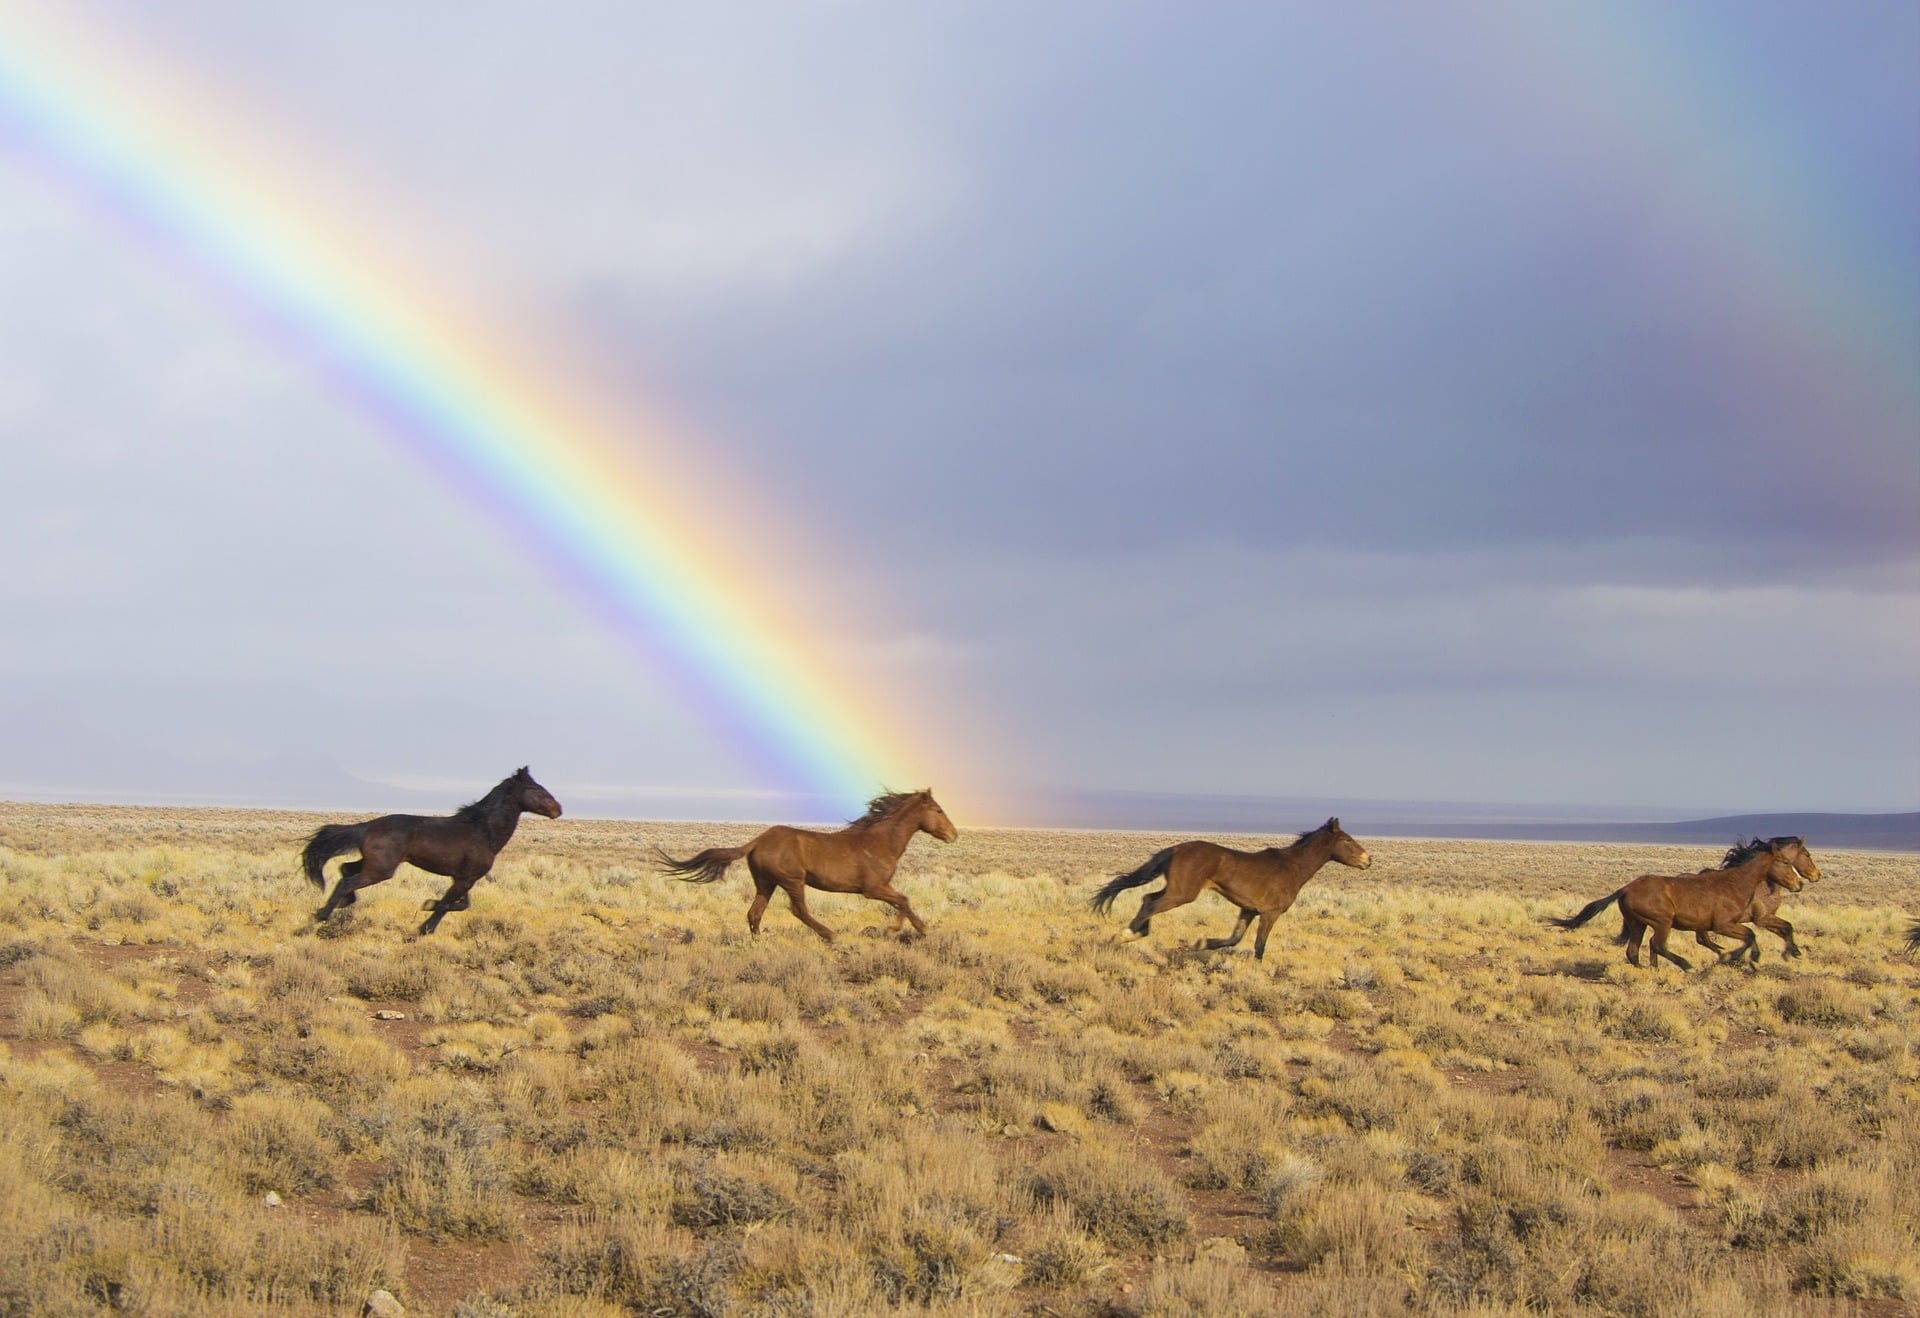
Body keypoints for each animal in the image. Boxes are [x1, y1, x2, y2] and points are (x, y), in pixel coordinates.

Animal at [297, 764, 556, 941]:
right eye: (536, 788)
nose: (558, 809)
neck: (483, 831)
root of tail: (368, 826)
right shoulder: (465, 879)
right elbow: (446, 905)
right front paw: (424, 927)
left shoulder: (463, 878)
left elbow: (461, 905)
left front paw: (428, 905)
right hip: (381, 869)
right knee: (347, 880)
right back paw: (321, 914)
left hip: (374, 863)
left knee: (346, 869)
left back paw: (342, 903)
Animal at [656, 791, 956, 945]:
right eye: (939, 810)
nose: (953, 835)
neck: (881, 841)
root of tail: (758, 841)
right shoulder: (873, 888)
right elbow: (904, 900)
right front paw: (898, 929)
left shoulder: (879, 888)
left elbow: (904, 902)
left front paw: (917, 929)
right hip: (792, 881)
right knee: (798, 910)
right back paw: (831, 934)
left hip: (766, 883)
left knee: (755, 913)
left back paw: (758, 943)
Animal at [1082, 822, 1382, 964]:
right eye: (1346, 840)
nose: (1368, 860)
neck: (1291, 867)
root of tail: (1175, 849)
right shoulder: (1270, 913)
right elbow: (1259, 946)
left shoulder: (1248, 909)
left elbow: (1234, 939)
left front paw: (1201, 944)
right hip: (1183, 893)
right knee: (1150, 904)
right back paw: (1125, 935)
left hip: (1176, 890)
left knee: (1147, 898)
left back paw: (1133, 934)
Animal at [1543, 841, 1812, 976]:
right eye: (1785, 861)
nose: (1799, 884)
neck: (1735, 883)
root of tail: (1625, 888)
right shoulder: (1723, 925)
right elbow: (1750, 936)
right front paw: (1737, 958)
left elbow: (1752, 935)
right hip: (1662, 922)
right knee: (1656, 945)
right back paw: (1684, 965)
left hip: (1638, 923)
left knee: (1634, 950)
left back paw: (1650, 970)